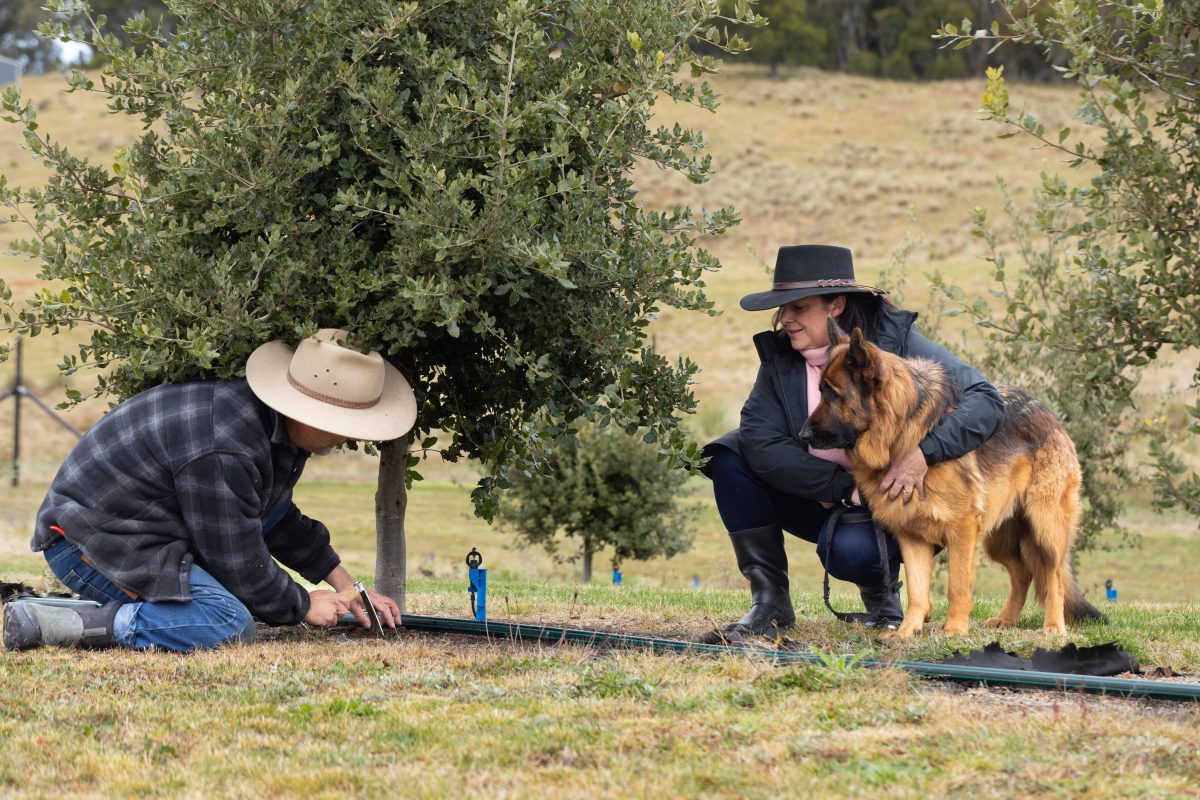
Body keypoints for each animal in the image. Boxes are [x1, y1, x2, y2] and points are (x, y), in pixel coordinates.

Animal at [801, 319, 1099, 638]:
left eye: (833, 394)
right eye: (820, 391)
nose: (802, 435)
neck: (902, 433)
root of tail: (1049, 414)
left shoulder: (962, 529)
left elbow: (957, 586)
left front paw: (954, 630)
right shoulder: (912, 534)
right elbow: (918, 592)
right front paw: (906, 632)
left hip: (1045, 528)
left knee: (1053, 576)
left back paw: (1053, 626)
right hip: (999, 538)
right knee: (1023, 574)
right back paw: (1005, 619)